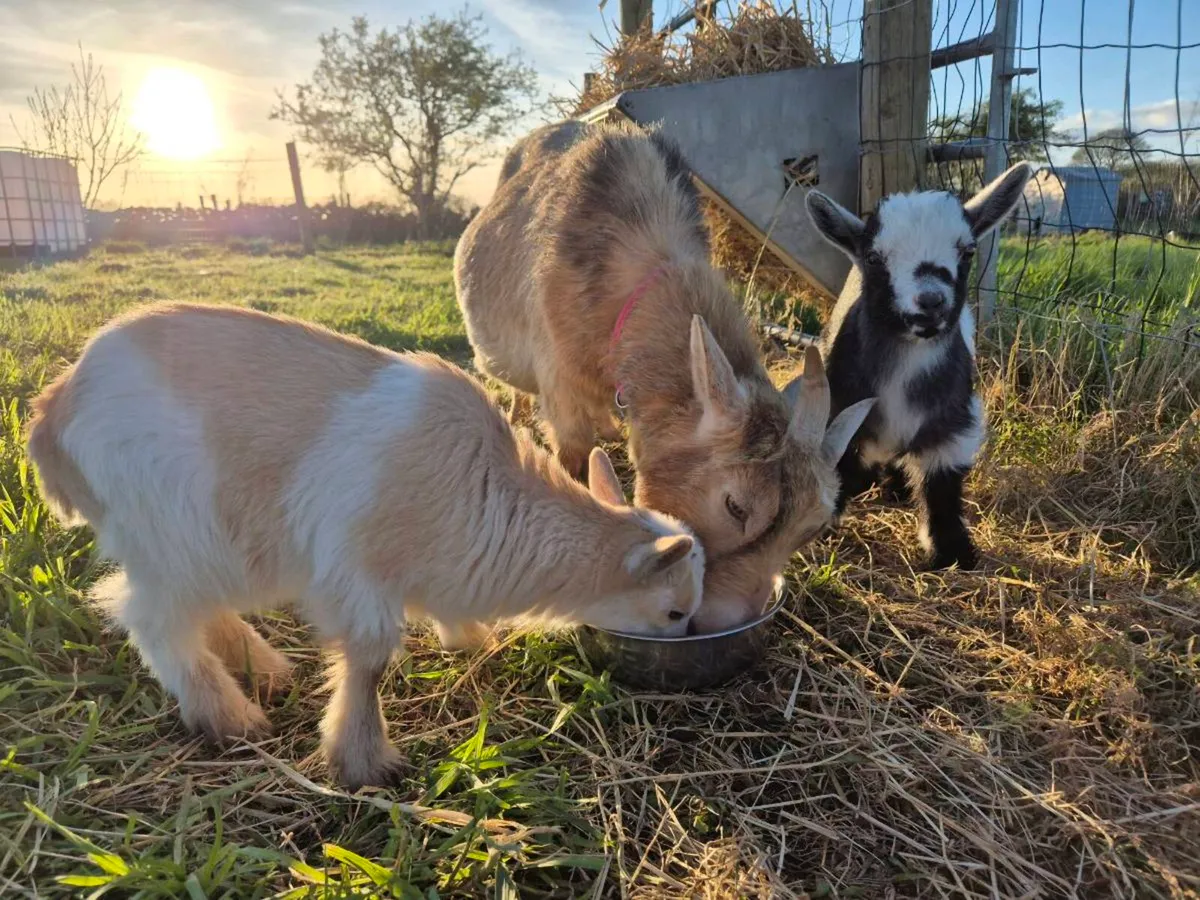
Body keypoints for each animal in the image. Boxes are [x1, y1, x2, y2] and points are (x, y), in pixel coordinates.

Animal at [26, 303, 704, 788]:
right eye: (675, 612)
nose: (683, 645)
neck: (480, 489)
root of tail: (56, 408)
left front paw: (469, 640)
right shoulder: (356, 573)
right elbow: (371, 661)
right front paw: (363, 761)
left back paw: (266, 670)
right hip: (174, 529)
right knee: (149, 617)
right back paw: (230, 717)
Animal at [804, 163, 1033, 570]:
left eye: (968, 251)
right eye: (874, 258)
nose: (930, 300)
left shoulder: (953, 423)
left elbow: (941, 486)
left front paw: (953, 552)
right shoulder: (841, 408)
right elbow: (839, 467)